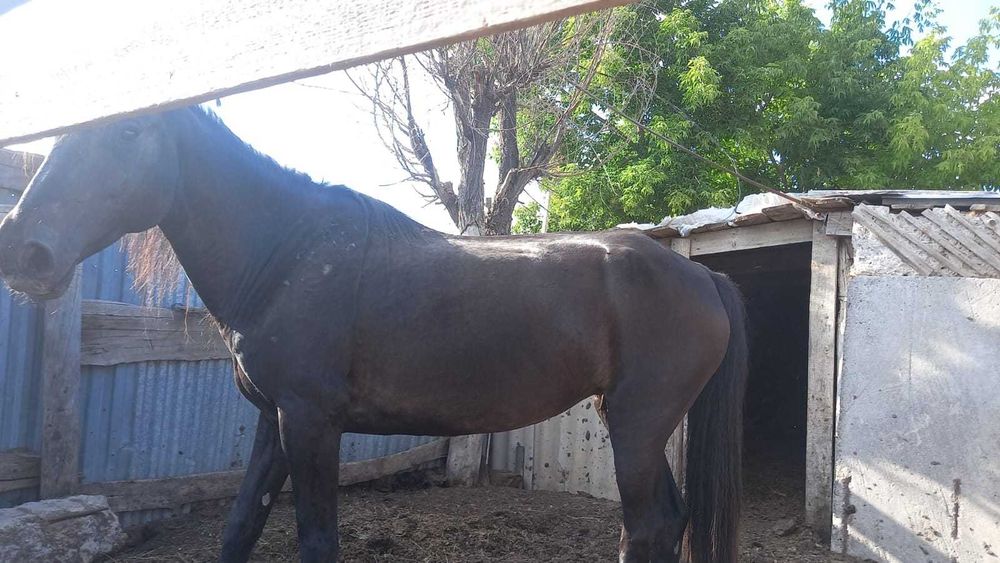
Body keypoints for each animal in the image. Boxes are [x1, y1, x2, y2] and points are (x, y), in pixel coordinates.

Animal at [0, 106, 747, 563]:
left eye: (129, 134)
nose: (23, 250)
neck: (288, 255)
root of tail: (700, 276)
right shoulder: (274, 421)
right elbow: (239, 529)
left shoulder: (309, 422)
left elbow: (317, 540)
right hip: (636, 423)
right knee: (669, 520)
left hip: (638, 425)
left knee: (645, 526)